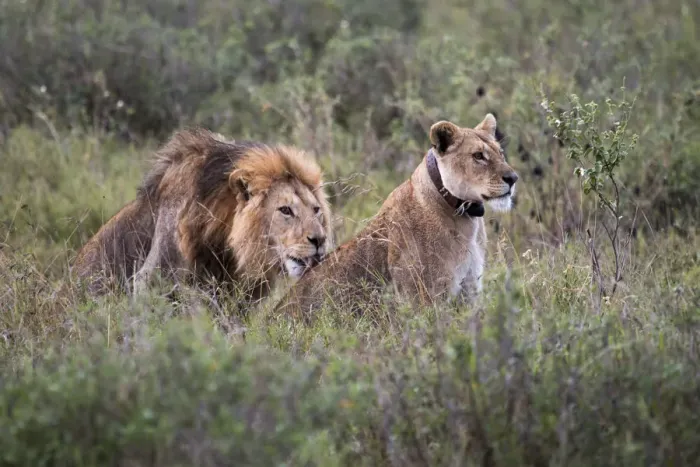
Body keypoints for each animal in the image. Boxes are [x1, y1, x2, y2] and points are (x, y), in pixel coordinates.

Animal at [274, 114, 518, 319]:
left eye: (500, 153)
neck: (466, 218)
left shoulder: (469, 293)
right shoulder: (422, 298)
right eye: (478, 156)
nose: (513, 178)